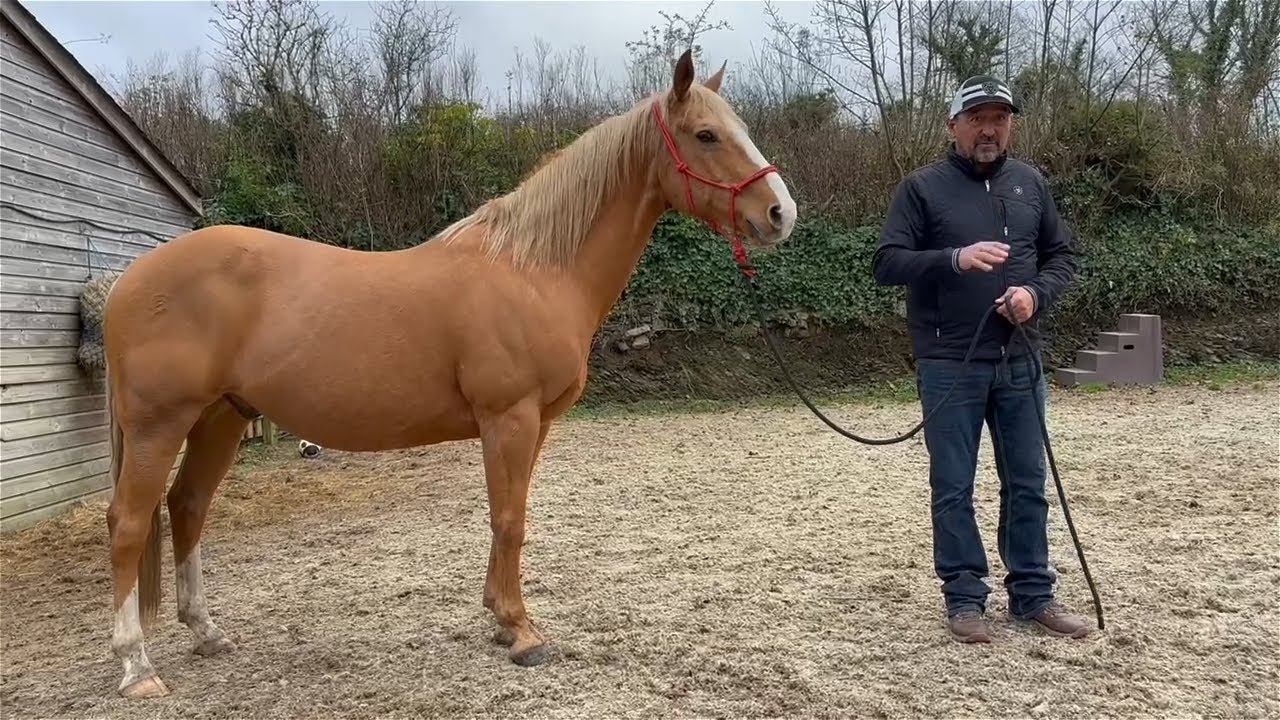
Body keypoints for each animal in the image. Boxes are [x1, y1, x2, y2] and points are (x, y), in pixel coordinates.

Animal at [93, 49, 797, 699]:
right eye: (706, 135)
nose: (781, 214)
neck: (534, 270)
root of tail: (125, 282)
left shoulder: (533, 426)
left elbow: (511, 513)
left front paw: (501, 620)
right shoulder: (508, 418)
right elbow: (509, 518)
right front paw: (522, 632)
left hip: (220, 417)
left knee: (187, 508)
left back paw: (207, 633)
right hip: (161, 424)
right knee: (128, 523)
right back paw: (136, 667)